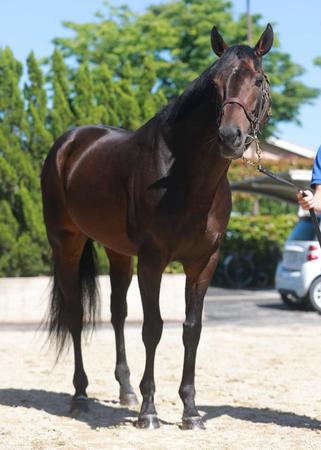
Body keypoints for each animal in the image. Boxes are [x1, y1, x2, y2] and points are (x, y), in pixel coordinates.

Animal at [40, 23, 272, 428]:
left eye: (258, 79)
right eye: (215, 83)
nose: (230, 137)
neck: (186, 180)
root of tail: (68, 144)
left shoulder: (203, 262)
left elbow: (192, 330)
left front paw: (191, 411)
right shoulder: (152, 261)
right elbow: (153, 328)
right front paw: (149, 411)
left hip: (117, 251)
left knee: (117, 313)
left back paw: (125, 391)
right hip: (66, 243)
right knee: (75, 315)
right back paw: (81, 396)